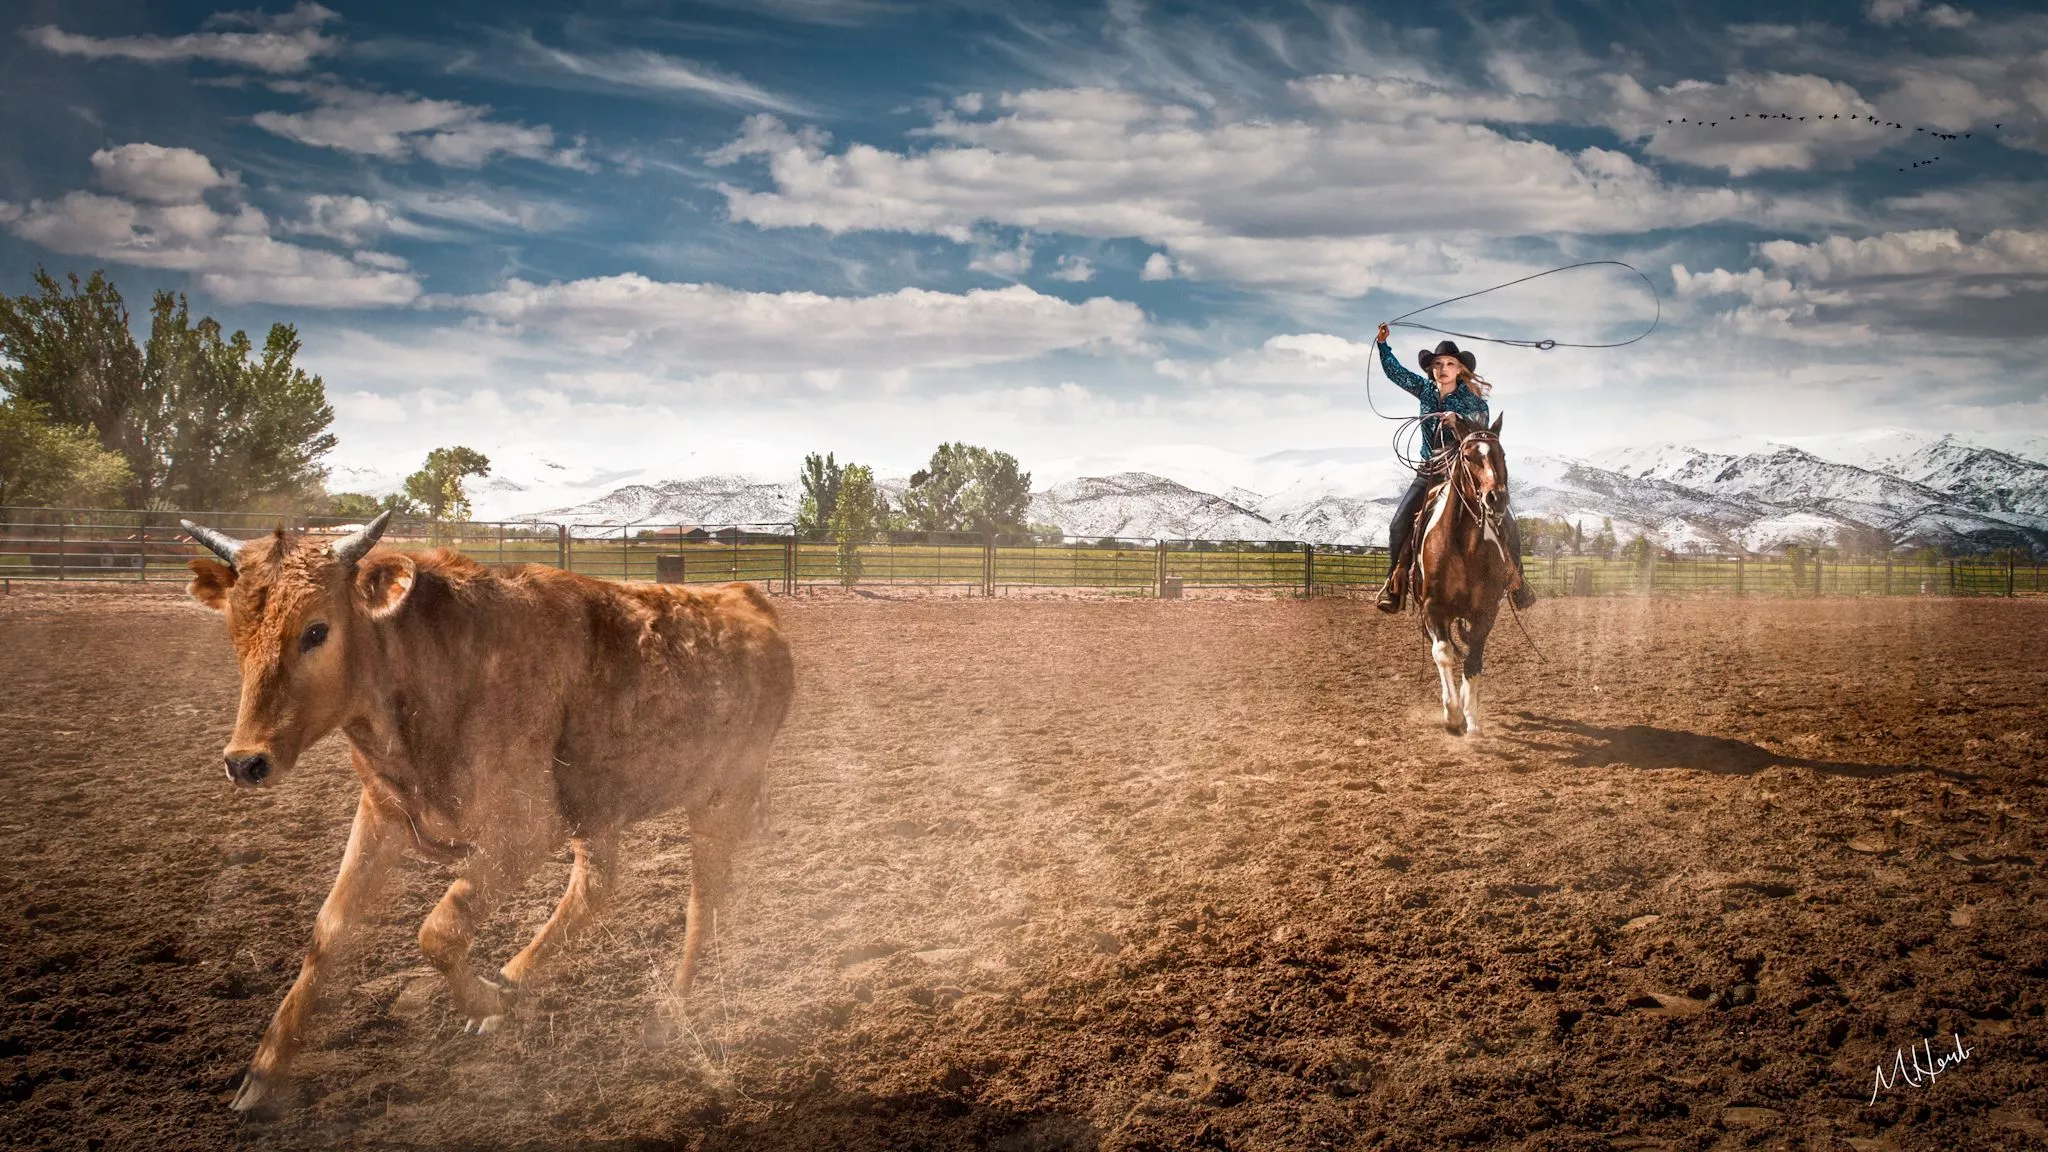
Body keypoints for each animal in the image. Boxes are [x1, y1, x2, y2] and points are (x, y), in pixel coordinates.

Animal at [1404, 412, 1517, 736]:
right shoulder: (1433, 609)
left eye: (1502, 454)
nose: (1496, 499)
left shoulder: (1486, 611)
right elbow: (1443, 653)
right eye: (1468, 456)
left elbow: (1474, 661)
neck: (1464, 547)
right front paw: (1453, 715)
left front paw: (1472, 719)